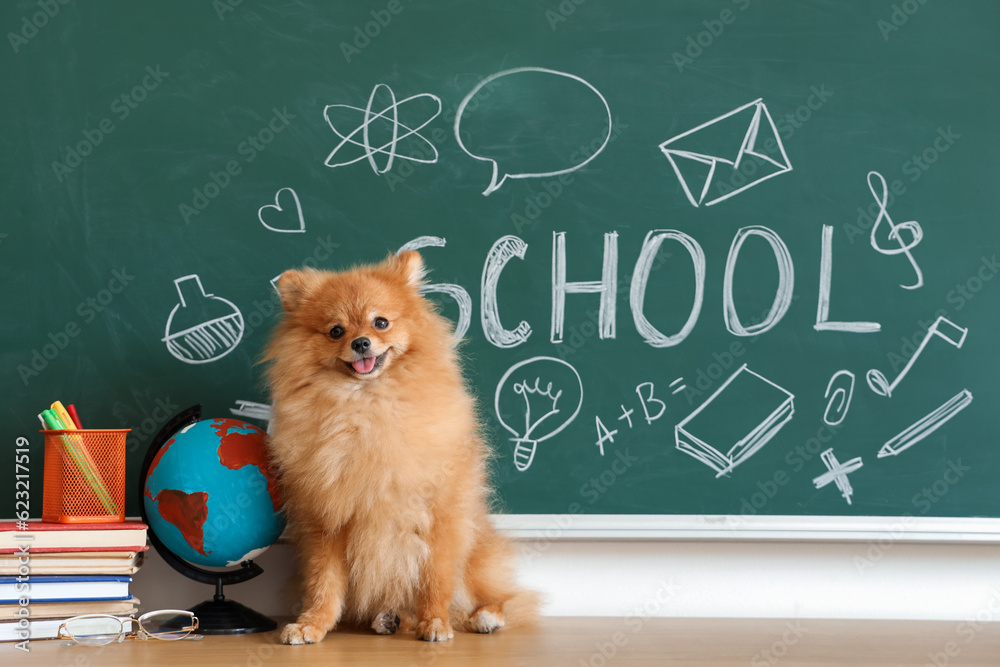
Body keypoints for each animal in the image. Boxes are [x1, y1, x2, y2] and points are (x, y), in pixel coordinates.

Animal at [262, 252, 536, 648]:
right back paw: (389, 618)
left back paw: (483, 617)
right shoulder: (326, 520)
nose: (361, 342)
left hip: (474, 553)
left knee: (494, 596)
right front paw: (312, 623)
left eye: (381, 323)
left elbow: (436, 577)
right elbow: (323, 582)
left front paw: (435, 622)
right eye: (336, 331)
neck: (365, 408)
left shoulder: (438, 514)